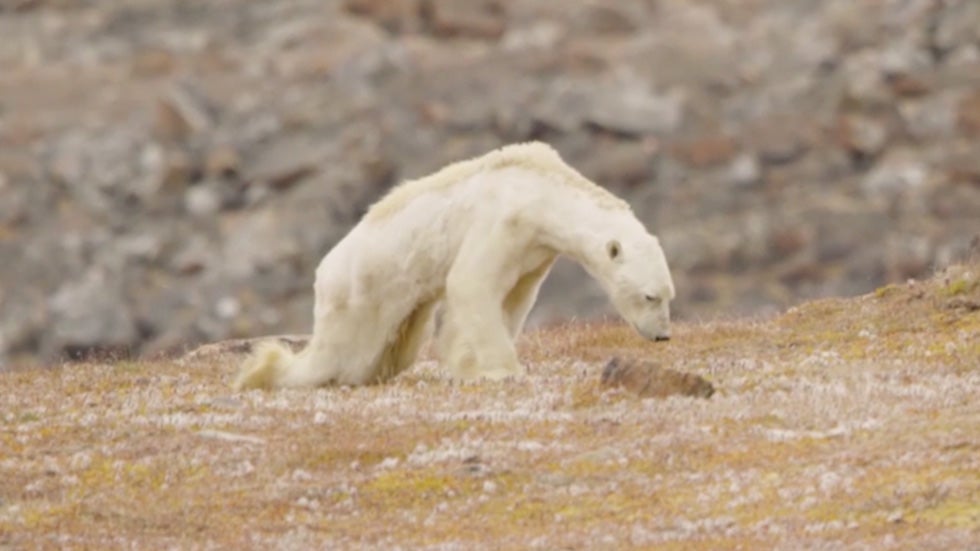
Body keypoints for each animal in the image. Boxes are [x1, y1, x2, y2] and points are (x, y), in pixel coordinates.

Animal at [233, 142, 674, 389]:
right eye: (650, 296)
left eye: (669, 295)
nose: (662, 336)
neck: (542, 191)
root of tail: (324, 273)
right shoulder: (503, 220)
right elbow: (471, 283)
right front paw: (502, 370)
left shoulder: (534, 250)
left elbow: (512, 298)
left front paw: (468, 364)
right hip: (360, 295)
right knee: (340, 355)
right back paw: (264, 372)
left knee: (392, 350)